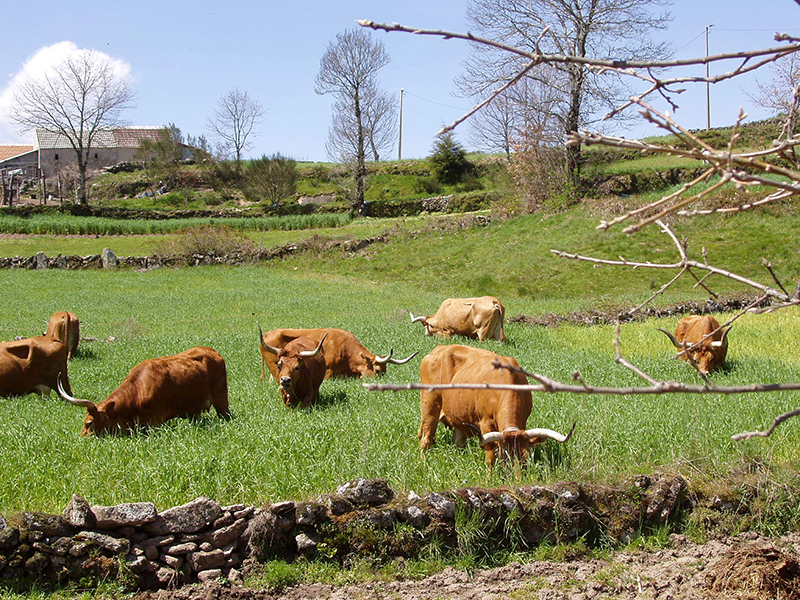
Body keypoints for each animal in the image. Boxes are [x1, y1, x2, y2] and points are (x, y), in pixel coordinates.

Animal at [55, 346, 231, 436]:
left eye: (89, 423)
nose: (82, 439)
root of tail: (212, 351)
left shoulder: (155, 422)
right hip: (195, 412)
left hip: (221, 401)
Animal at [416, 344, 572, 472]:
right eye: (504, 457)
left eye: (526, 458)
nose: (517, 479)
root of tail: (438, 349)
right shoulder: (485, 424)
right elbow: (490, 456)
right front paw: (489, 478)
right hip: (429, 406)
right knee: (425, 440)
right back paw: (424, 466)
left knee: (457, 441)